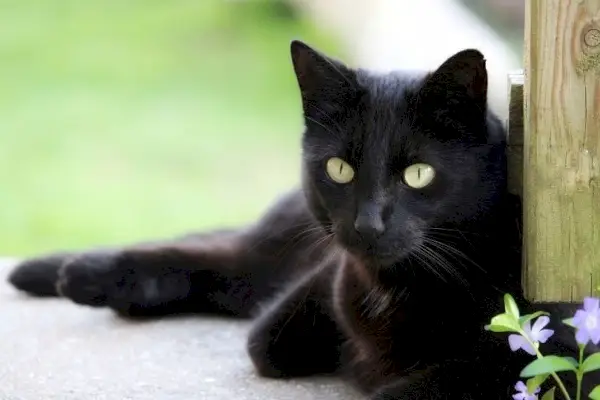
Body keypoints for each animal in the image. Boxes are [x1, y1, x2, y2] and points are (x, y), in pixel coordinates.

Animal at [7, 41, 596, 400]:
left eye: (418, 174)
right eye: (340, 168)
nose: (367, 223)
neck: (394, 287)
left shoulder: (552, 346)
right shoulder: (323, 278)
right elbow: (266, 343)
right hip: (274, 248)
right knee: (218, 253)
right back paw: (80, 274)